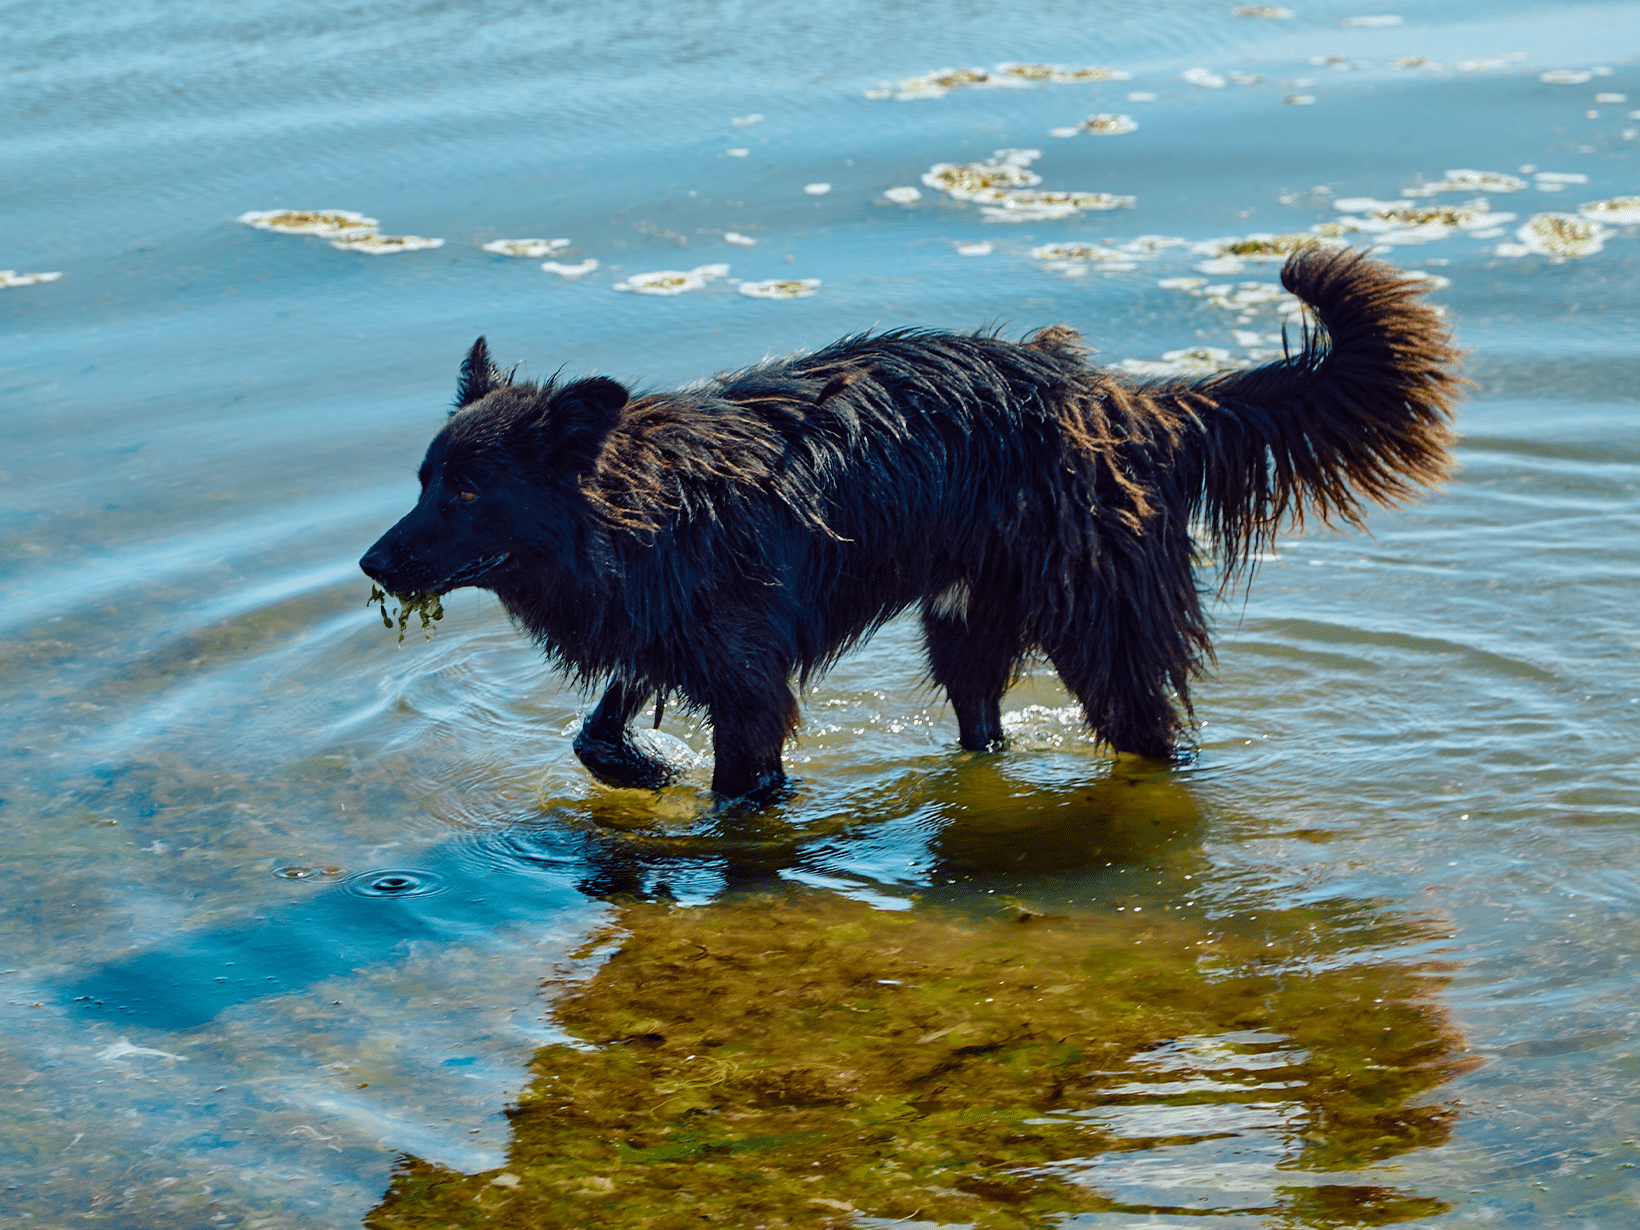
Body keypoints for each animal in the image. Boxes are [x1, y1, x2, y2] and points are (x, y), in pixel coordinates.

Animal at [359, 252, 1462, 810]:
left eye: (467, 492)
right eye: (423, 480)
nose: (370, 561)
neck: (641, 507)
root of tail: (1131, 402)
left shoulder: (749, 682)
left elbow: (737, 789)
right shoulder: (675, 636)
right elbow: (598, 731)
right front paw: (640, 765)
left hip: (1101, 637)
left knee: (1156, 741)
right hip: (965, 626)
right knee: (985, 726)